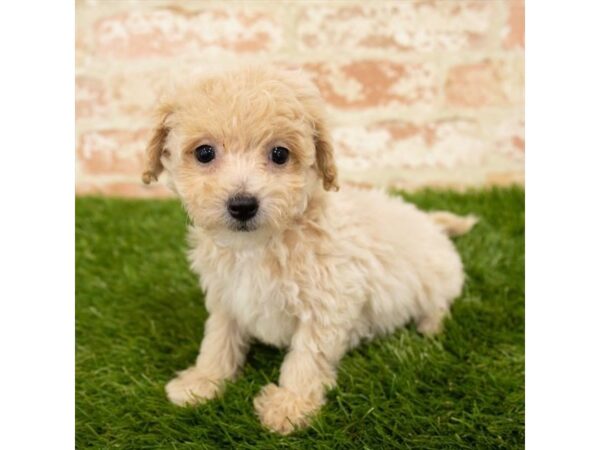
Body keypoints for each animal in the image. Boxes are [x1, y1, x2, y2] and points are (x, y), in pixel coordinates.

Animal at [142, 66, 478, 432]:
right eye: (204, 153)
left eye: (279, 154)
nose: (243, 205)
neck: (262, 244)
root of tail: (430, 222)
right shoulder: (226, 295)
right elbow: (218, 338)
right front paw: (203, 381)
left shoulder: (327, 302)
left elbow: (307, 355)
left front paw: (290, 405)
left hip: (439, 279)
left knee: (440, 303)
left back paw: (430, 327)